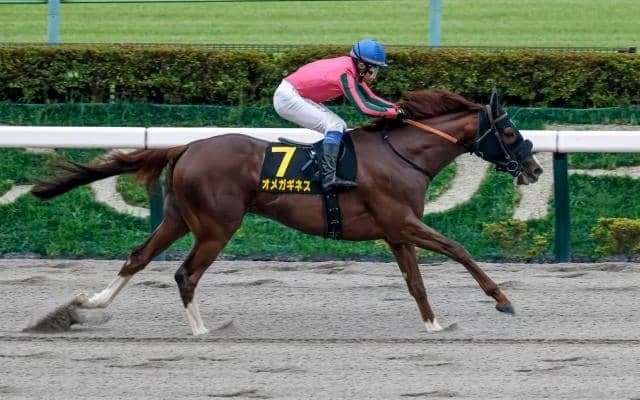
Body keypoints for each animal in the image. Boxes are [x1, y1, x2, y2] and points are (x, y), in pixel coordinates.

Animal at [31, 89, 543, 335]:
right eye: (510, 133)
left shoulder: (396, 231)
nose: (536, 168)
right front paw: (502, 299)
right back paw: (203, 330)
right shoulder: (402, 221)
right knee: (185, 273)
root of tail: (187, 146)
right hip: (217, 226)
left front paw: (435, 323)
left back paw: (86, 305)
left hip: (178, 217)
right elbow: (458, 249)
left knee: (138, 256)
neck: (403, 154)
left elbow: (415, 282)